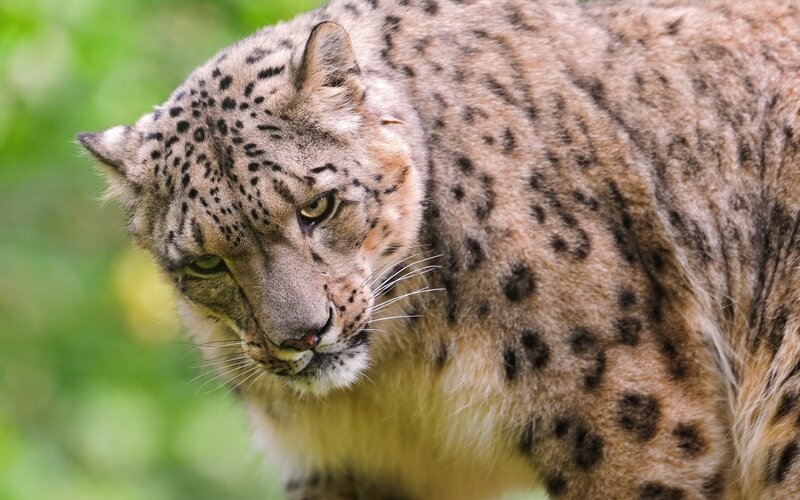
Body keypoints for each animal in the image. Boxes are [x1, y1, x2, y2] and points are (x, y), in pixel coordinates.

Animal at [78, 0, 800, 497]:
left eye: (317, 207)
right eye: (206, 261)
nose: (302, 336)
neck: (401, 380)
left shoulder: (624, 422)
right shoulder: (347, 464)